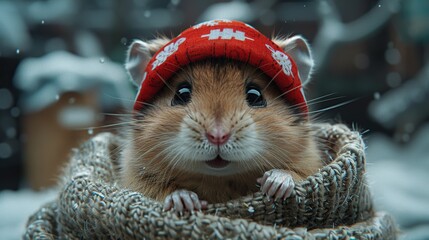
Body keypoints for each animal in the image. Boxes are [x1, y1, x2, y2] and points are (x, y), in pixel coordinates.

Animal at [118, 33, 320, 212]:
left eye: (256, 96)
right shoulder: (137, 178)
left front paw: (274, 185)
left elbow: (294, 173)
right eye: (181, 94)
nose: (217, 136)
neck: (219, 178)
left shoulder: (309, 162)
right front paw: (184, 202)